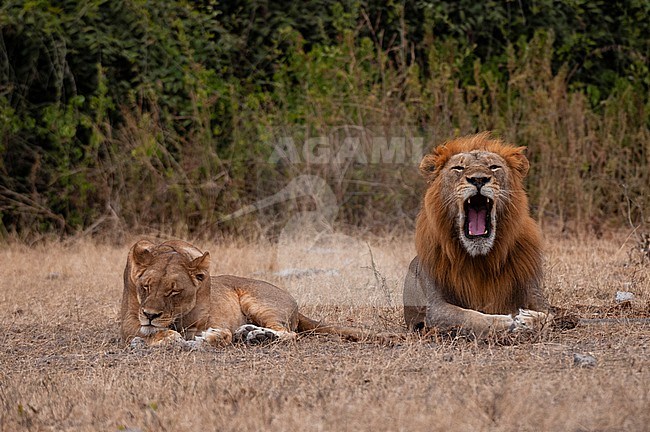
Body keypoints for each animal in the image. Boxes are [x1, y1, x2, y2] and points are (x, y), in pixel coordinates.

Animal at [120, 238, 380, 346]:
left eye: (174, 292)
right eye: (146, 286)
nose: (150, 315)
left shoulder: (203, 321)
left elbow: (221, 334)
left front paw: (211, 337)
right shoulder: (129, 321)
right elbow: (150, 331)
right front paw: (165, 335)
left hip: (257, 302)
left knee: (288, 333)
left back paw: (257, 335)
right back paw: (247, 332)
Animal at [402, 133, 548, 336]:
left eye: (494, 167)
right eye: (458, 168)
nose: (479, 179)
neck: (480, 258)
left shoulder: (534, 294)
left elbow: (548, 316)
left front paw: (528, 318)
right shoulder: (435, 308)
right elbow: (469, 317)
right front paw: (503, 321)